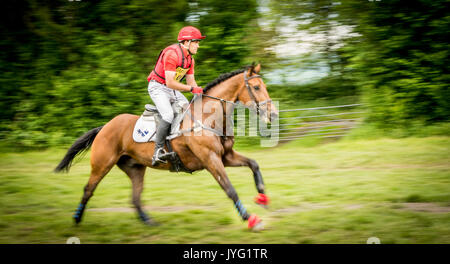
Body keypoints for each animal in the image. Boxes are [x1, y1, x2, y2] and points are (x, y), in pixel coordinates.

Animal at [53, 63, 278, 230]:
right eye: (256, 87)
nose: (274, 114)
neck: (209, 117)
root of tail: (104, 127)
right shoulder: (211, 159)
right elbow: (230, 189)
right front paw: (251, 220)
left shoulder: (226, 156)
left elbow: (254, 164)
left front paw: (263, 198)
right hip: (102, 164)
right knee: (88, 189)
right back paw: (76, 218)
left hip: (135, 168)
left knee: (135, 197)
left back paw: (148, 221)